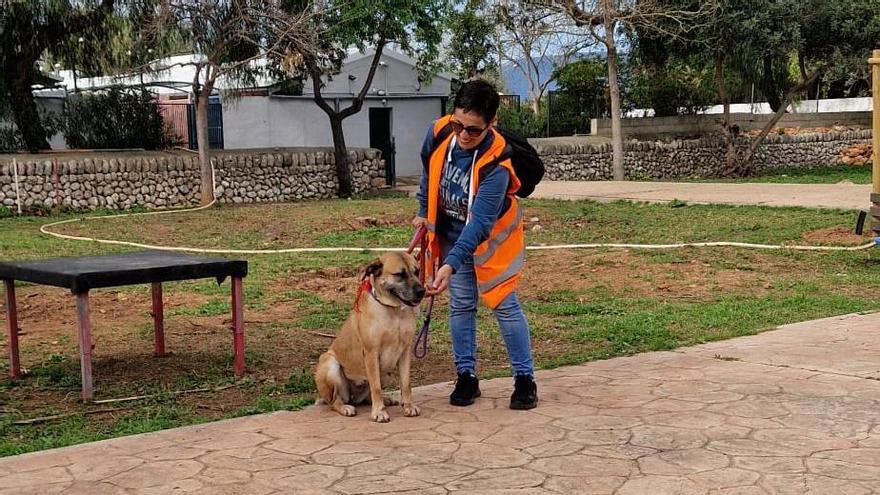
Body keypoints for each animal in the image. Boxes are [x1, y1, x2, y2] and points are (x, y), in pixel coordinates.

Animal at [316, 254, 426, 424]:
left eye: (417, 271)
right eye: (399, 274)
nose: (422, 291)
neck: (393, 311)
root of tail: (353, 397)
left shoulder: (405, 352)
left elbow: (406, 384)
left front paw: (409, 406)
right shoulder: (371, 353)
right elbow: (376, 387)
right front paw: (379, 412)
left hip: (385, 370)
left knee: (367, 398)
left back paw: (386, 400)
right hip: (329, 363)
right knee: (335, 401)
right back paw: (345, 407)